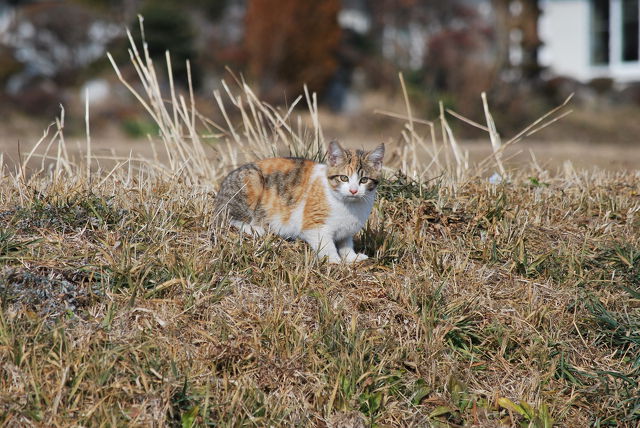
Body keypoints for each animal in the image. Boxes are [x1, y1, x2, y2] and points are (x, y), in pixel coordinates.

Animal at [214, 140, 384, 262]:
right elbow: (326, 244)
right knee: (226, 217)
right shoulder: (315, 225)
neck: (350, 205)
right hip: (252, 182)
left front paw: (352, 257)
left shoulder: (347, 230)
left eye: (364, 180)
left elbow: (346, 243)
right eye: (344, 178)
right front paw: (334, 260)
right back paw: (254, 228)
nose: (353, 190)